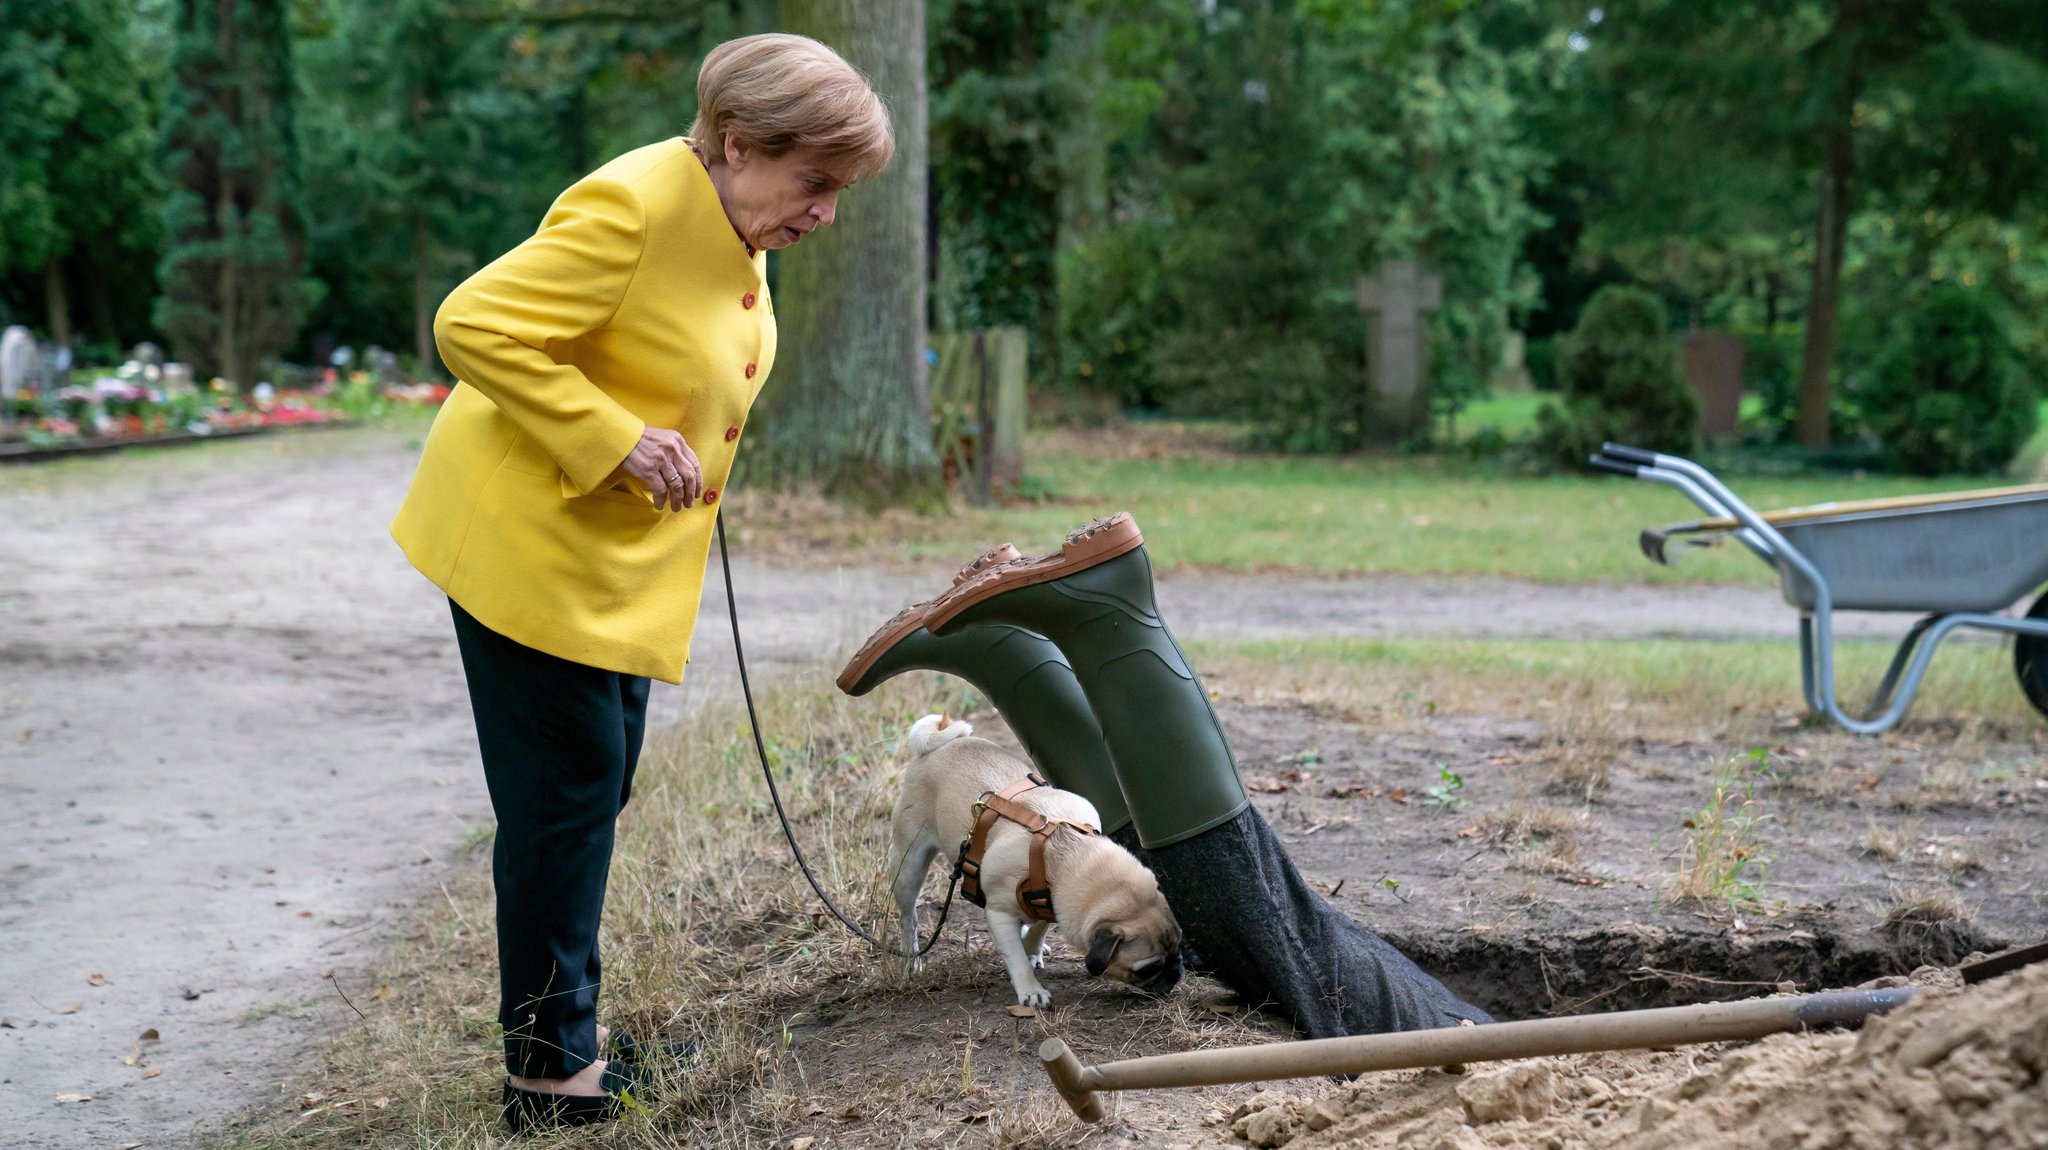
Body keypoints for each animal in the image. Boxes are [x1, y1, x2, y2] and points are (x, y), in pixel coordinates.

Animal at [884, 712, 1187, 998]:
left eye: (1179, 949)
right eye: (1148, 968)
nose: (1176, 974)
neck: (1064, 852)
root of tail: (939, 746)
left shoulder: (1052, 900)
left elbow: (1040, 926)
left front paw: (1032, 947)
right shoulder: (1000, 913)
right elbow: (1015, 957)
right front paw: (1031, 991)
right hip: (908, 866)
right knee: (908, 917)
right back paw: (910, 959)